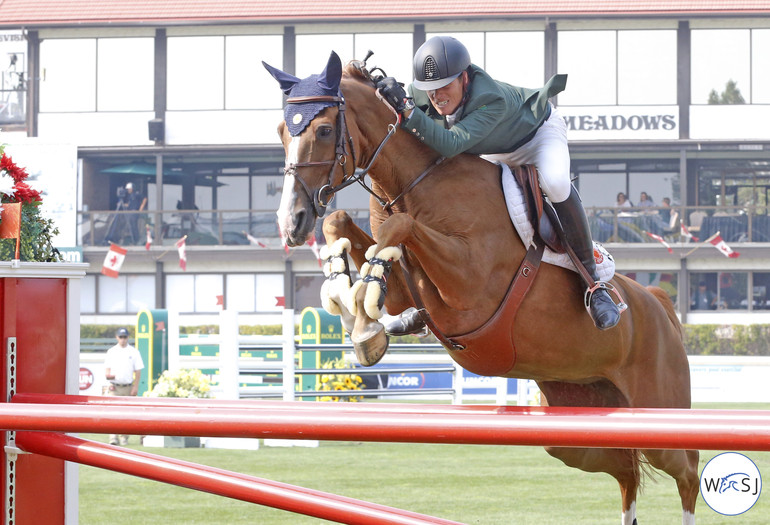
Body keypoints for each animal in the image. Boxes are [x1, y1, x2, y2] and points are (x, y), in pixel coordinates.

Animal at [268, 51, 700, 520]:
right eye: (281, 132)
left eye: (325, 129)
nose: (290, 223)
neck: (415, 183)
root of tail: (658, 305)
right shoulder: (406, 287)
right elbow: (343, 223)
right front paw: (351, 302)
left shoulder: (470, 286)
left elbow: (402, 228)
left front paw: (364, 321)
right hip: (579, 430)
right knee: (626, 471)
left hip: (661, 414)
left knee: (687, 474)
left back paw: (603, 303)